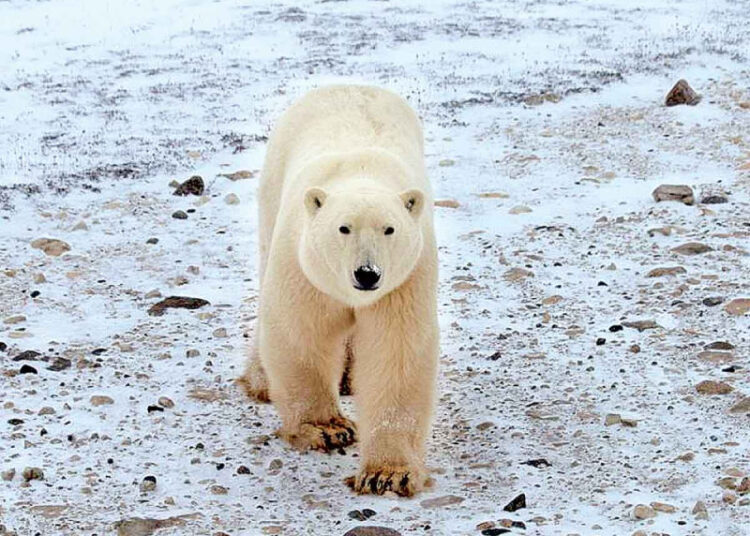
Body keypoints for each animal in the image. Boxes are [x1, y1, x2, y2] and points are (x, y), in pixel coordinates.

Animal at [239, 85, 439, 497]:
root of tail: (345, 84)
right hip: (273, 192)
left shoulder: (404, 281)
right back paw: (261, 380)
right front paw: (328, 429)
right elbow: (300, 332)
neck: (361, 173)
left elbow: (395, 352)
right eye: (343, 228)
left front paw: (387, 474)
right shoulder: (304, 267)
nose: (367, 274)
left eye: (389, 229)